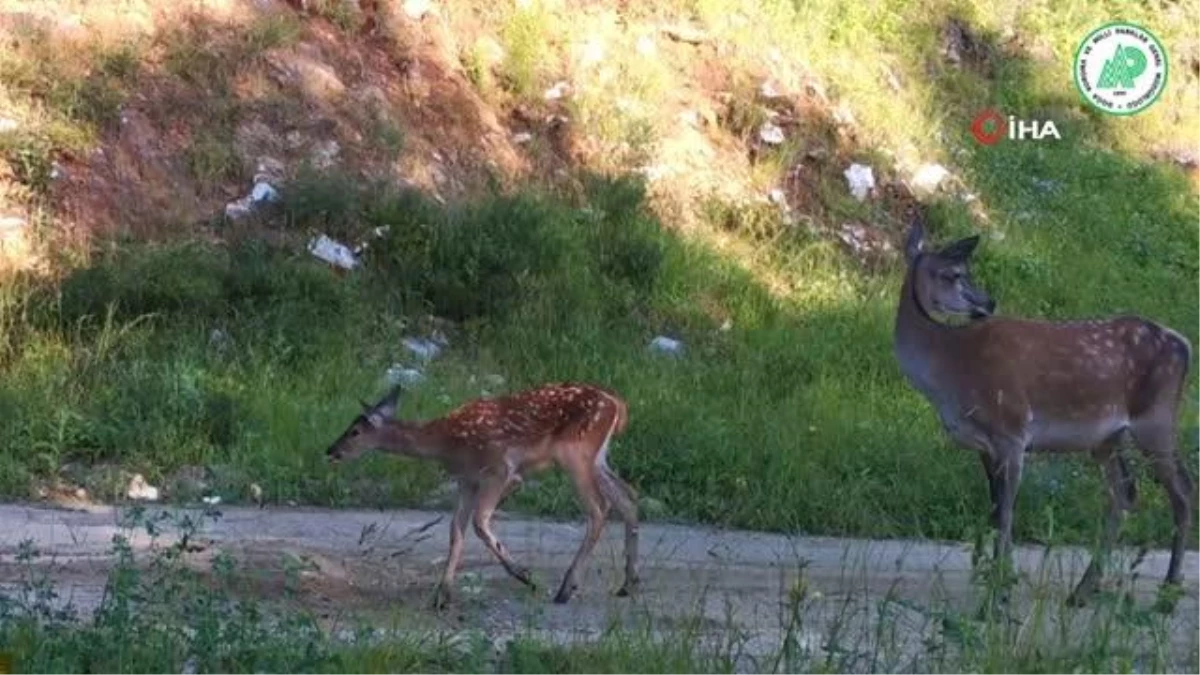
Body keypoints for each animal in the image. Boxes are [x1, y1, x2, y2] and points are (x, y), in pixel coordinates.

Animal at [319, 381, 638, 607]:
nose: (330, 450)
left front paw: (525, 576)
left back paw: (566, 588)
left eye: (355, 431)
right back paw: (627, 584)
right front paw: (442, 595)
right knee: (628, 497)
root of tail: (618, 405)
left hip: (575, 452)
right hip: (596, 457)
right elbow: (455, 530)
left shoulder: (499, 469)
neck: (445, 443)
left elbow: (479, 522)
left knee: (599, 508)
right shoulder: (467, 480)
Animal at [897, 220, 1195, 605]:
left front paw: (1000, 589)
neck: (950, 370)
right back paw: (1082, 590)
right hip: (1107, 438)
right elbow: (994, 508)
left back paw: (1169, 589)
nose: (988, 301)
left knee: (1182, 490)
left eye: (962, 270)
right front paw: (998, 579)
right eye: (953, 274)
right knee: (1124, 493)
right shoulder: (984, 444)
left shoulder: (1012, 429)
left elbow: (1007, 511)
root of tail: (1184, 344)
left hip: (1156, 418)